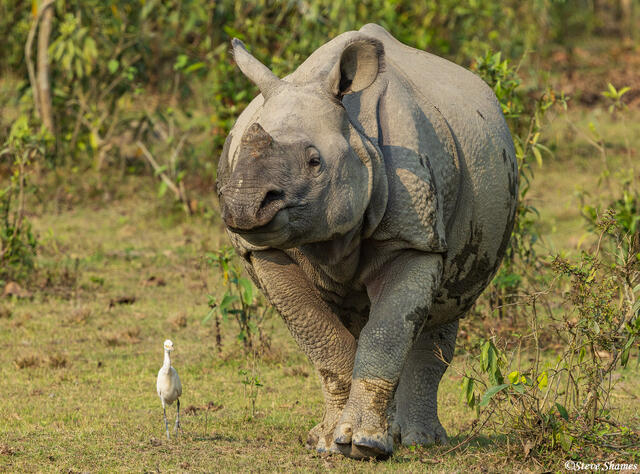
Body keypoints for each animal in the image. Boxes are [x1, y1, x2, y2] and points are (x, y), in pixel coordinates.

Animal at [216, 23, 517, 459]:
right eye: (240, 154)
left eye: (315, 161)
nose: (244, 204)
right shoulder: (265, 250)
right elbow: (321, 336)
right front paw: (330, 442)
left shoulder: (412, 239)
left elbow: (386, 334)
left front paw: (363, 444)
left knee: (444, 309)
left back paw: (422, 442)